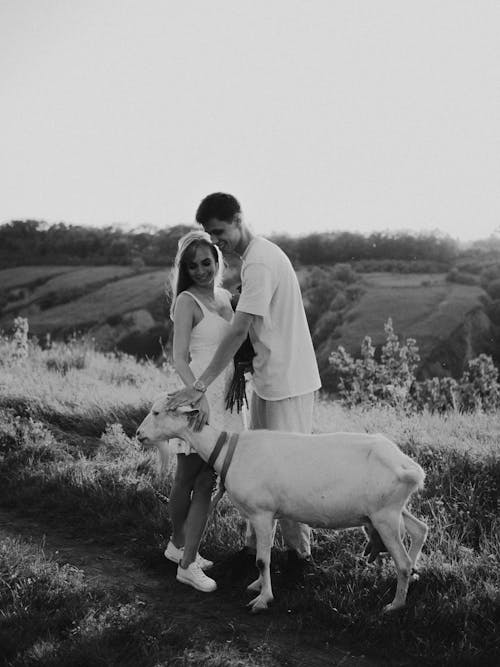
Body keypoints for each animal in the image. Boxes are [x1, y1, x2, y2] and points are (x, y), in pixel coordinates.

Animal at [138, 396, 430, 616]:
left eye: (156, 412)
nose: (139, 434)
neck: (232, 451)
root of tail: (408, 467)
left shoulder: (261, 512)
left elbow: (261, 559)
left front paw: (263, 600)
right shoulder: (271, 514)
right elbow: (263, 555)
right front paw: (257, 586)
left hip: (384, 516)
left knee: (402, 561)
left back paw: (395, 604)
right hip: (392, 510)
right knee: (419, 529)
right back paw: (414, 575)